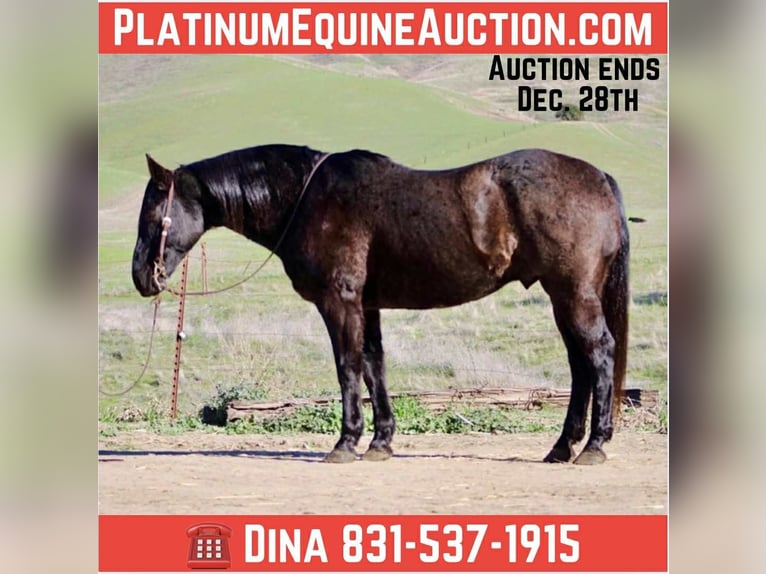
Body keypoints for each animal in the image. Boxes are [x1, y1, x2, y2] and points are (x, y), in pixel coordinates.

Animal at [131, 144, 629, 465]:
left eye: (155, 215)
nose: (141, 277)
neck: (306, 197)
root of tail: (599, 178)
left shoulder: (340, 303)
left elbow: (348, 366)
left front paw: (345, 443)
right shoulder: (366, 307)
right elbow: (374, 366)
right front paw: (380, 443)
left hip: (574, 294)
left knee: (599, 355)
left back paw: (594, 447)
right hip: (562, 296)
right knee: (580, 365)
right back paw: (562, 448)